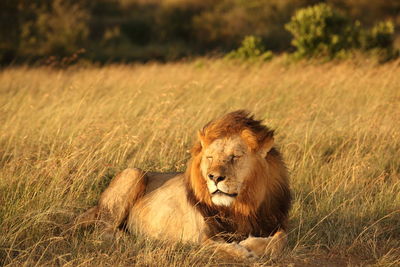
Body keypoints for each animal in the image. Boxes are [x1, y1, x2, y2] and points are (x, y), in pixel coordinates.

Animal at [76, 110, 290, 260]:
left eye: (235, 157)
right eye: (210, 157)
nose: (214, 177)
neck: (240, 207)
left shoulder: (274, 223)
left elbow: (281, 239)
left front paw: (253, 244)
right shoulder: (202, 237)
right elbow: (216, 248)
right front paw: (244, 252)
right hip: (133, 173)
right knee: (103, 232)